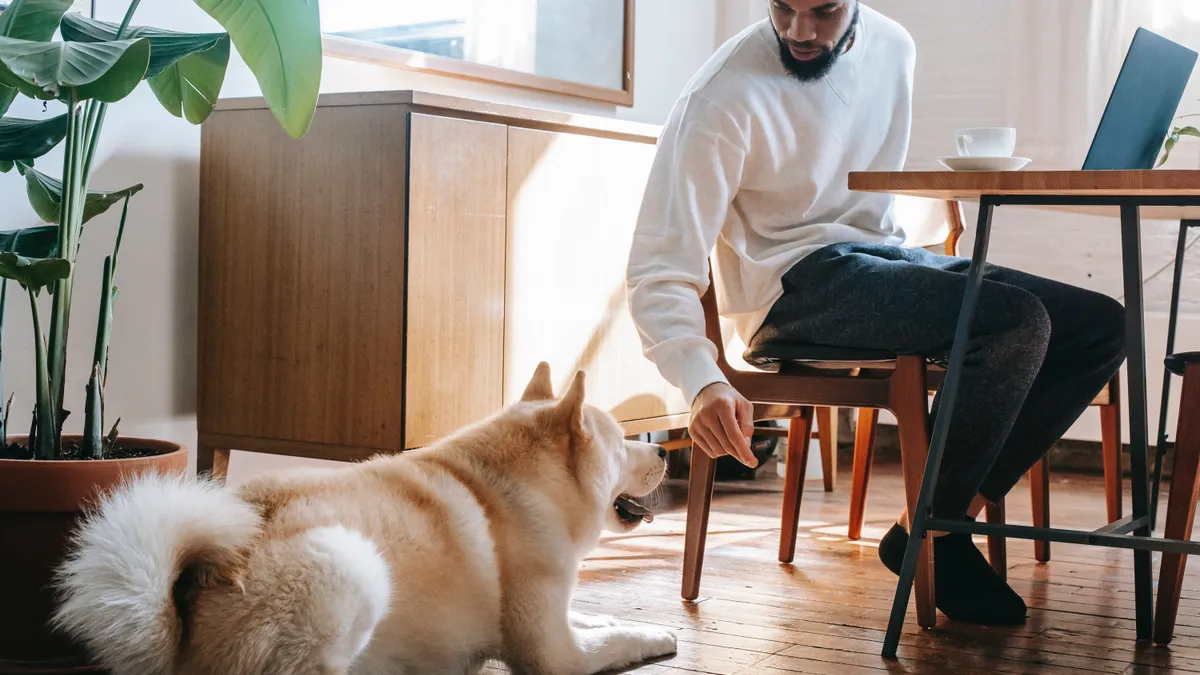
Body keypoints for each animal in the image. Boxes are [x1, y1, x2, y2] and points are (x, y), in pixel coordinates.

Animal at [54, 362, 676, 672]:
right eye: (623, 444)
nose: (667, 453)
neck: (507, 490)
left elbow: (594, 617)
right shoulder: (553, 656)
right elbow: (618, 638)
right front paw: (657, 631)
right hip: (351, 564)